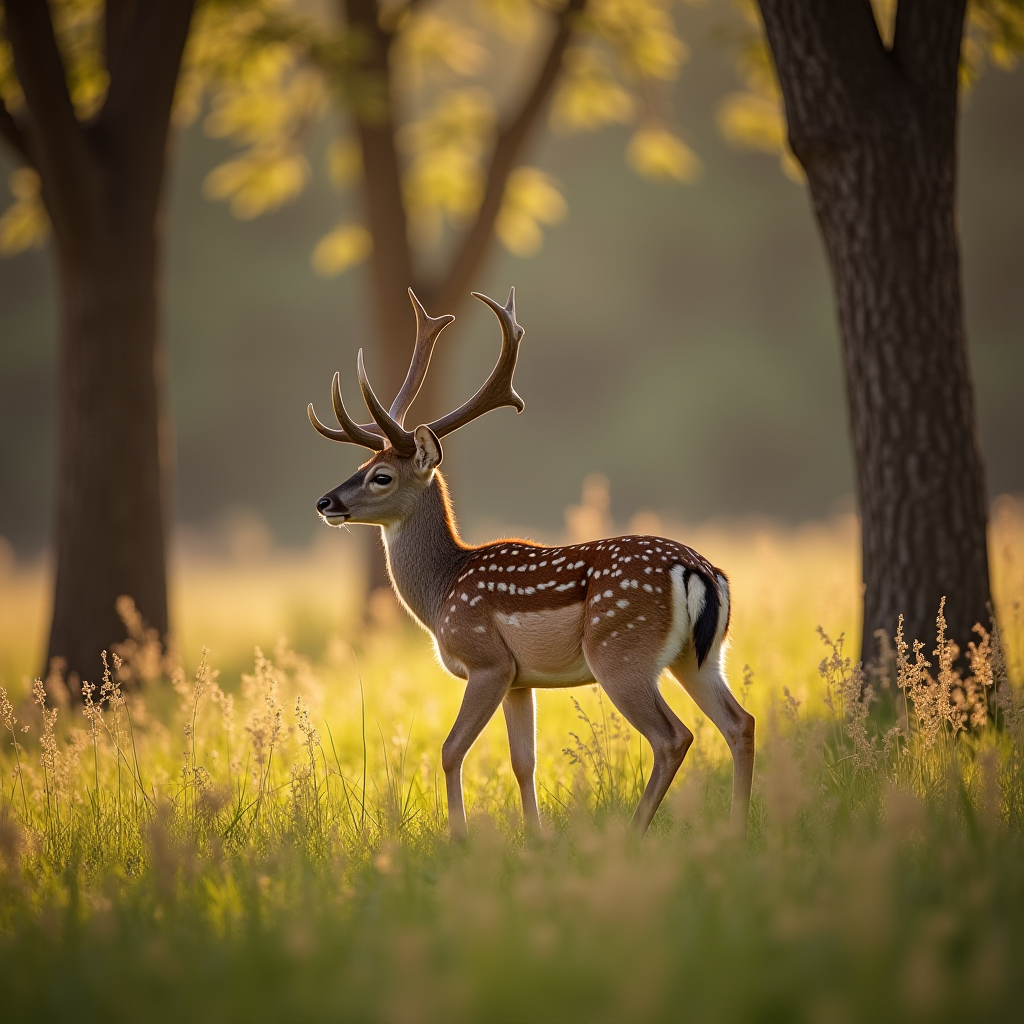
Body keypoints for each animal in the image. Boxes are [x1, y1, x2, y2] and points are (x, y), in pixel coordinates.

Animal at [307, 290, 757, 839]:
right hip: (700, 656)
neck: (441, 592)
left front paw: (459, 838)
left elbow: (450, 750)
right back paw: (737, 829)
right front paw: (535, 837)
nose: (326, 502)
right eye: (361, 466)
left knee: (674, 736)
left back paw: (634, 832)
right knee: (739, 722)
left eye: (382, 477)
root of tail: (700, 572)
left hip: (620, 652)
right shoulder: (521, 680)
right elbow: (525, 761)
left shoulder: (487, 660)